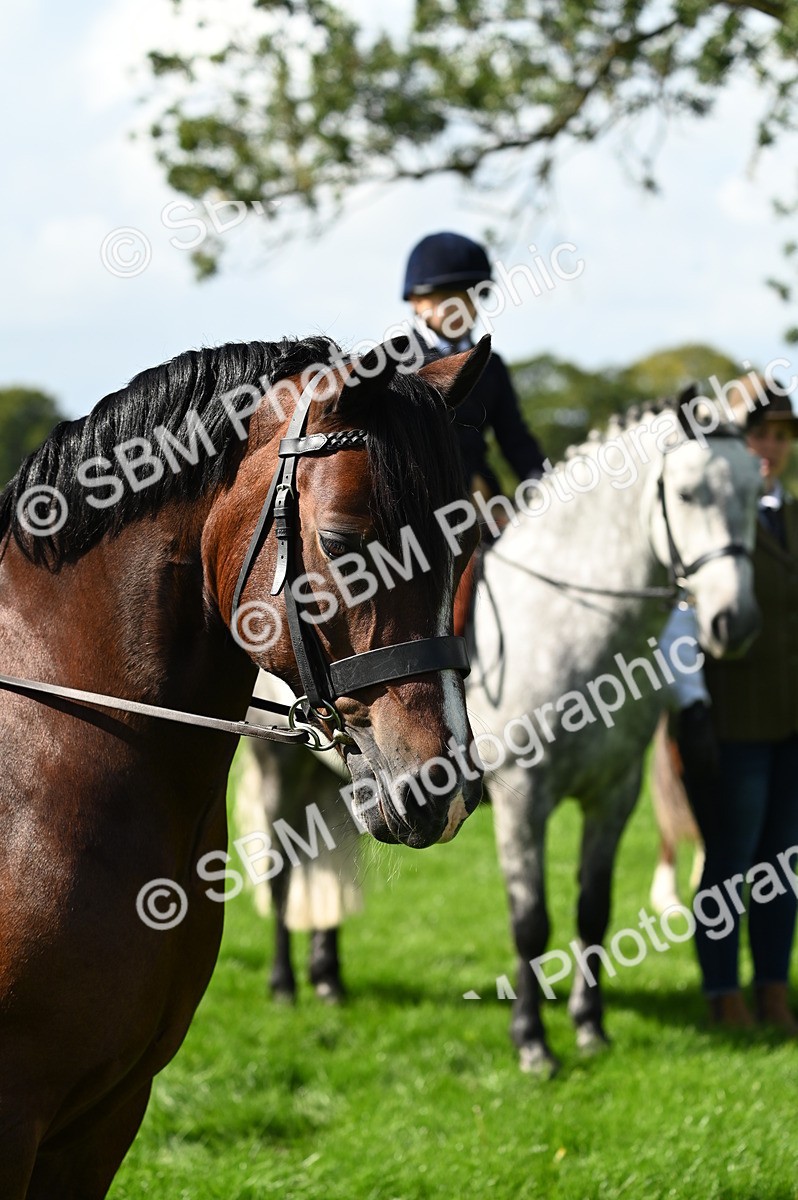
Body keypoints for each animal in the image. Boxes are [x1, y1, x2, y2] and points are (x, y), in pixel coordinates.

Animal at [467, 399, 762, 1073]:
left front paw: (589, 1027)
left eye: (754, 495)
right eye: (687, 493)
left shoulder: (614, 794)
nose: (734, 623)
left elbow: (592, 910)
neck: (569, 615)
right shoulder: (522, 799)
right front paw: (532, 1042)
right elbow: (531, 920)